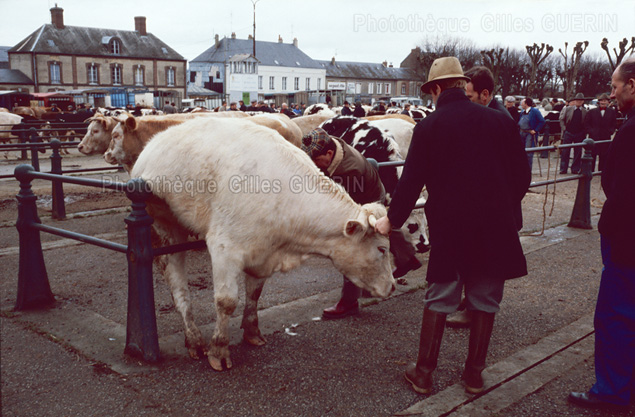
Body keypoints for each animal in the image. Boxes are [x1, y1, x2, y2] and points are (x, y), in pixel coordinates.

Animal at [131, 116, 396, 368]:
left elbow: (254, 294)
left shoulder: (263, 253)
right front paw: (219, 350)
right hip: (165, 225)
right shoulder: (224, 248)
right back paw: (194, 339)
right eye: (382, 249)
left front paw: (252, 332)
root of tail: (155, 143)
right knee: (178, 285)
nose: (393, 287)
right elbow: (226, 302)